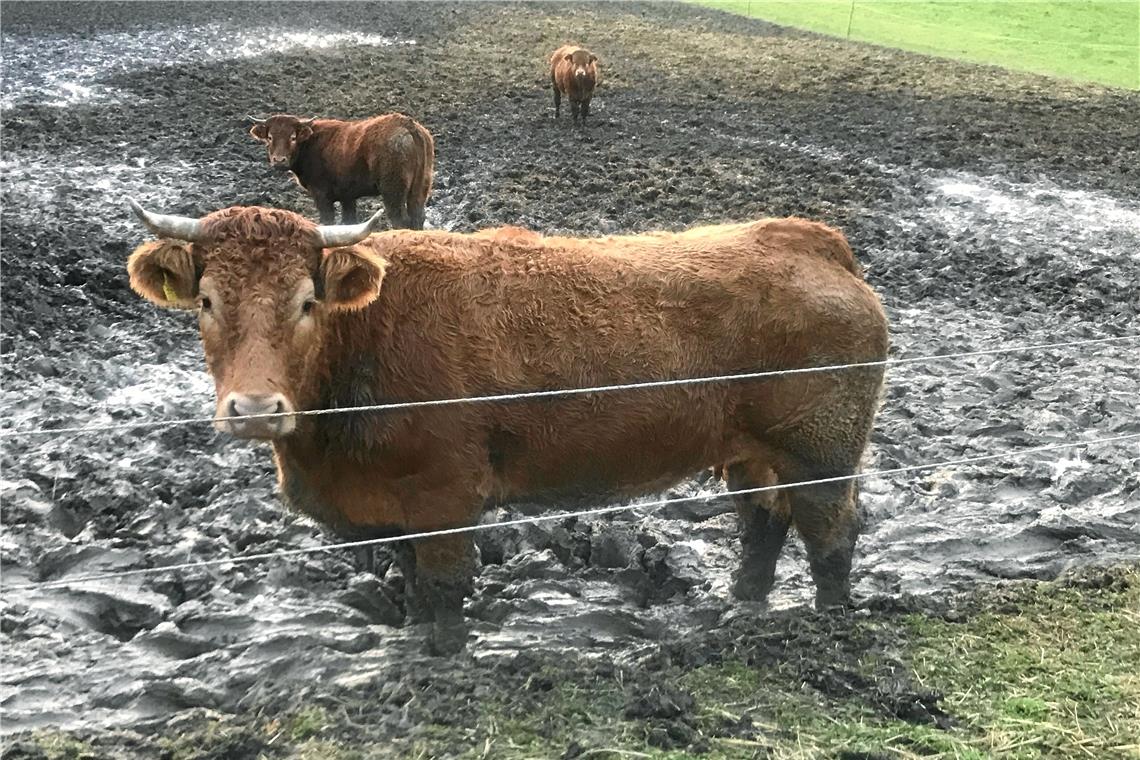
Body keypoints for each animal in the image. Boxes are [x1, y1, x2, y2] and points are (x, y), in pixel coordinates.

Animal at [124, 199, 889, 656]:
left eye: (308, 301)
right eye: (206, 301)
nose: (255, 409)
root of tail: (809, 239)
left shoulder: (444, 493)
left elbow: (443, 582)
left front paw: (448, 654)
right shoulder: (394, 505)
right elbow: (411, 580)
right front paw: (415, 639)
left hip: (823, 449)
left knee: (830, 529)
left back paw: (829, 623)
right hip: (753, 452)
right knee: (764, 521)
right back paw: (742, 609)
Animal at [249, 110, 430, 229]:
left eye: (293, 137)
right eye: (270, 137)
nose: (279, 160)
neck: (310, 142)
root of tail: (408, 125)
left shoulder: (321, 195)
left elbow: (328, 221)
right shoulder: (347, 196)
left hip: (393, 191)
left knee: (400, 220)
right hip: (420, 188)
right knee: (417, 217)